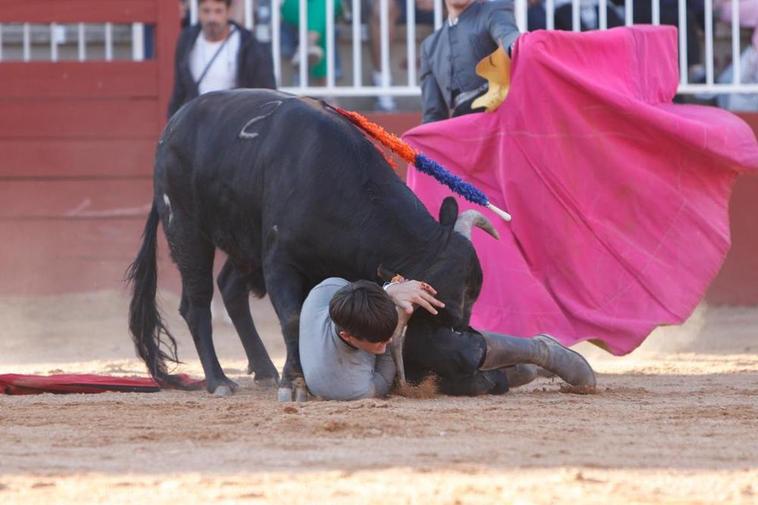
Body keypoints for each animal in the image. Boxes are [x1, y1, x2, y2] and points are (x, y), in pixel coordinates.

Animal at [127, 90, 510, 398]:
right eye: (445, 316)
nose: (473, 351)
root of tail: (172, 127)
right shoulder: (279, 261)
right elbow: (293, 318)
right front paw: (294, 383)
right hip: (186, 229)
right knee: (197, 304)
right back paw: (219, 381)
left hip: (245, 240)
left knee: (231, 288)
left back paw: (263, 369)